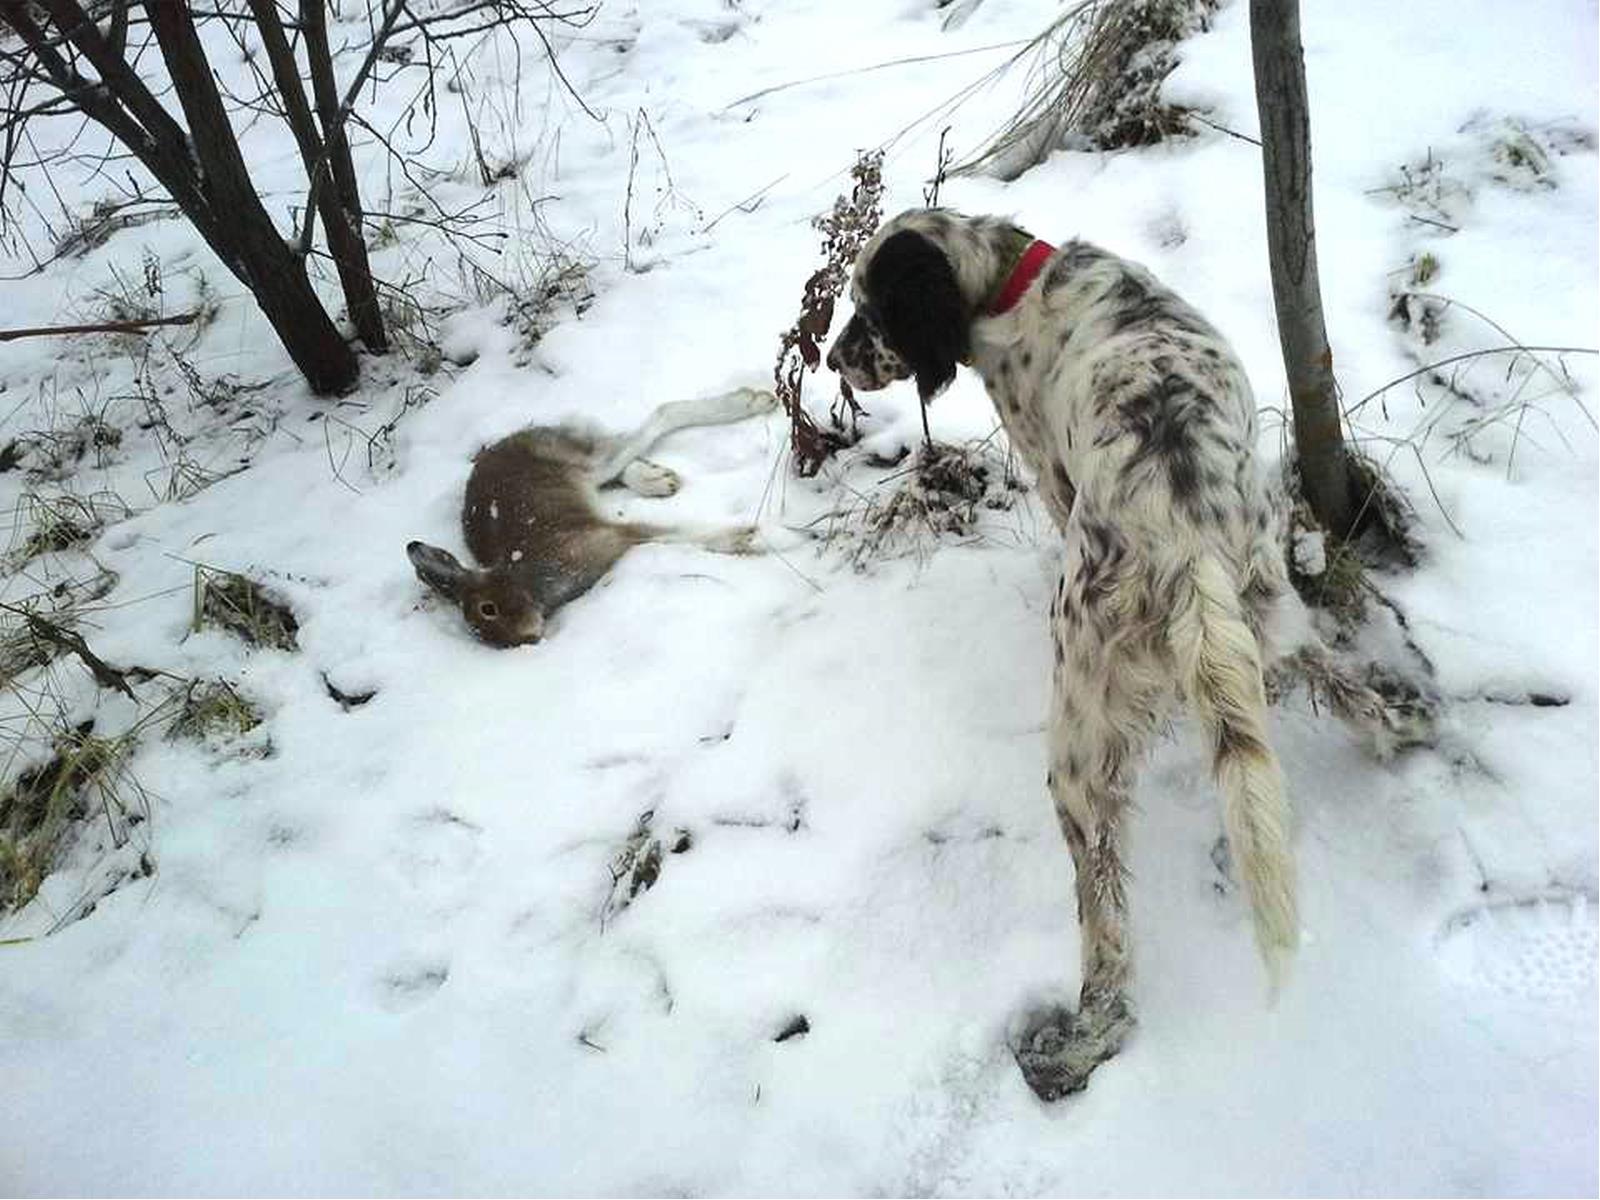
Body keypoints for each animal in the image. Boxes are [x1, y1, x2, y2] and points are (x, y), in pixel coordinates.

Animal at [827, 208, 1410, 1099]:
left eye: (869, 307)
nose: (832, 359)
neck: (1016, 275)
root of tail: (1182, 536)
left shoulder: (1049, 469)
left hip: (1079, 733)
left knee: (1104, 916)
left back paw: (1082, 1037)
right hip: (1264, 608)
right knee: (1342, 688)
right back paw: (1408, 734)